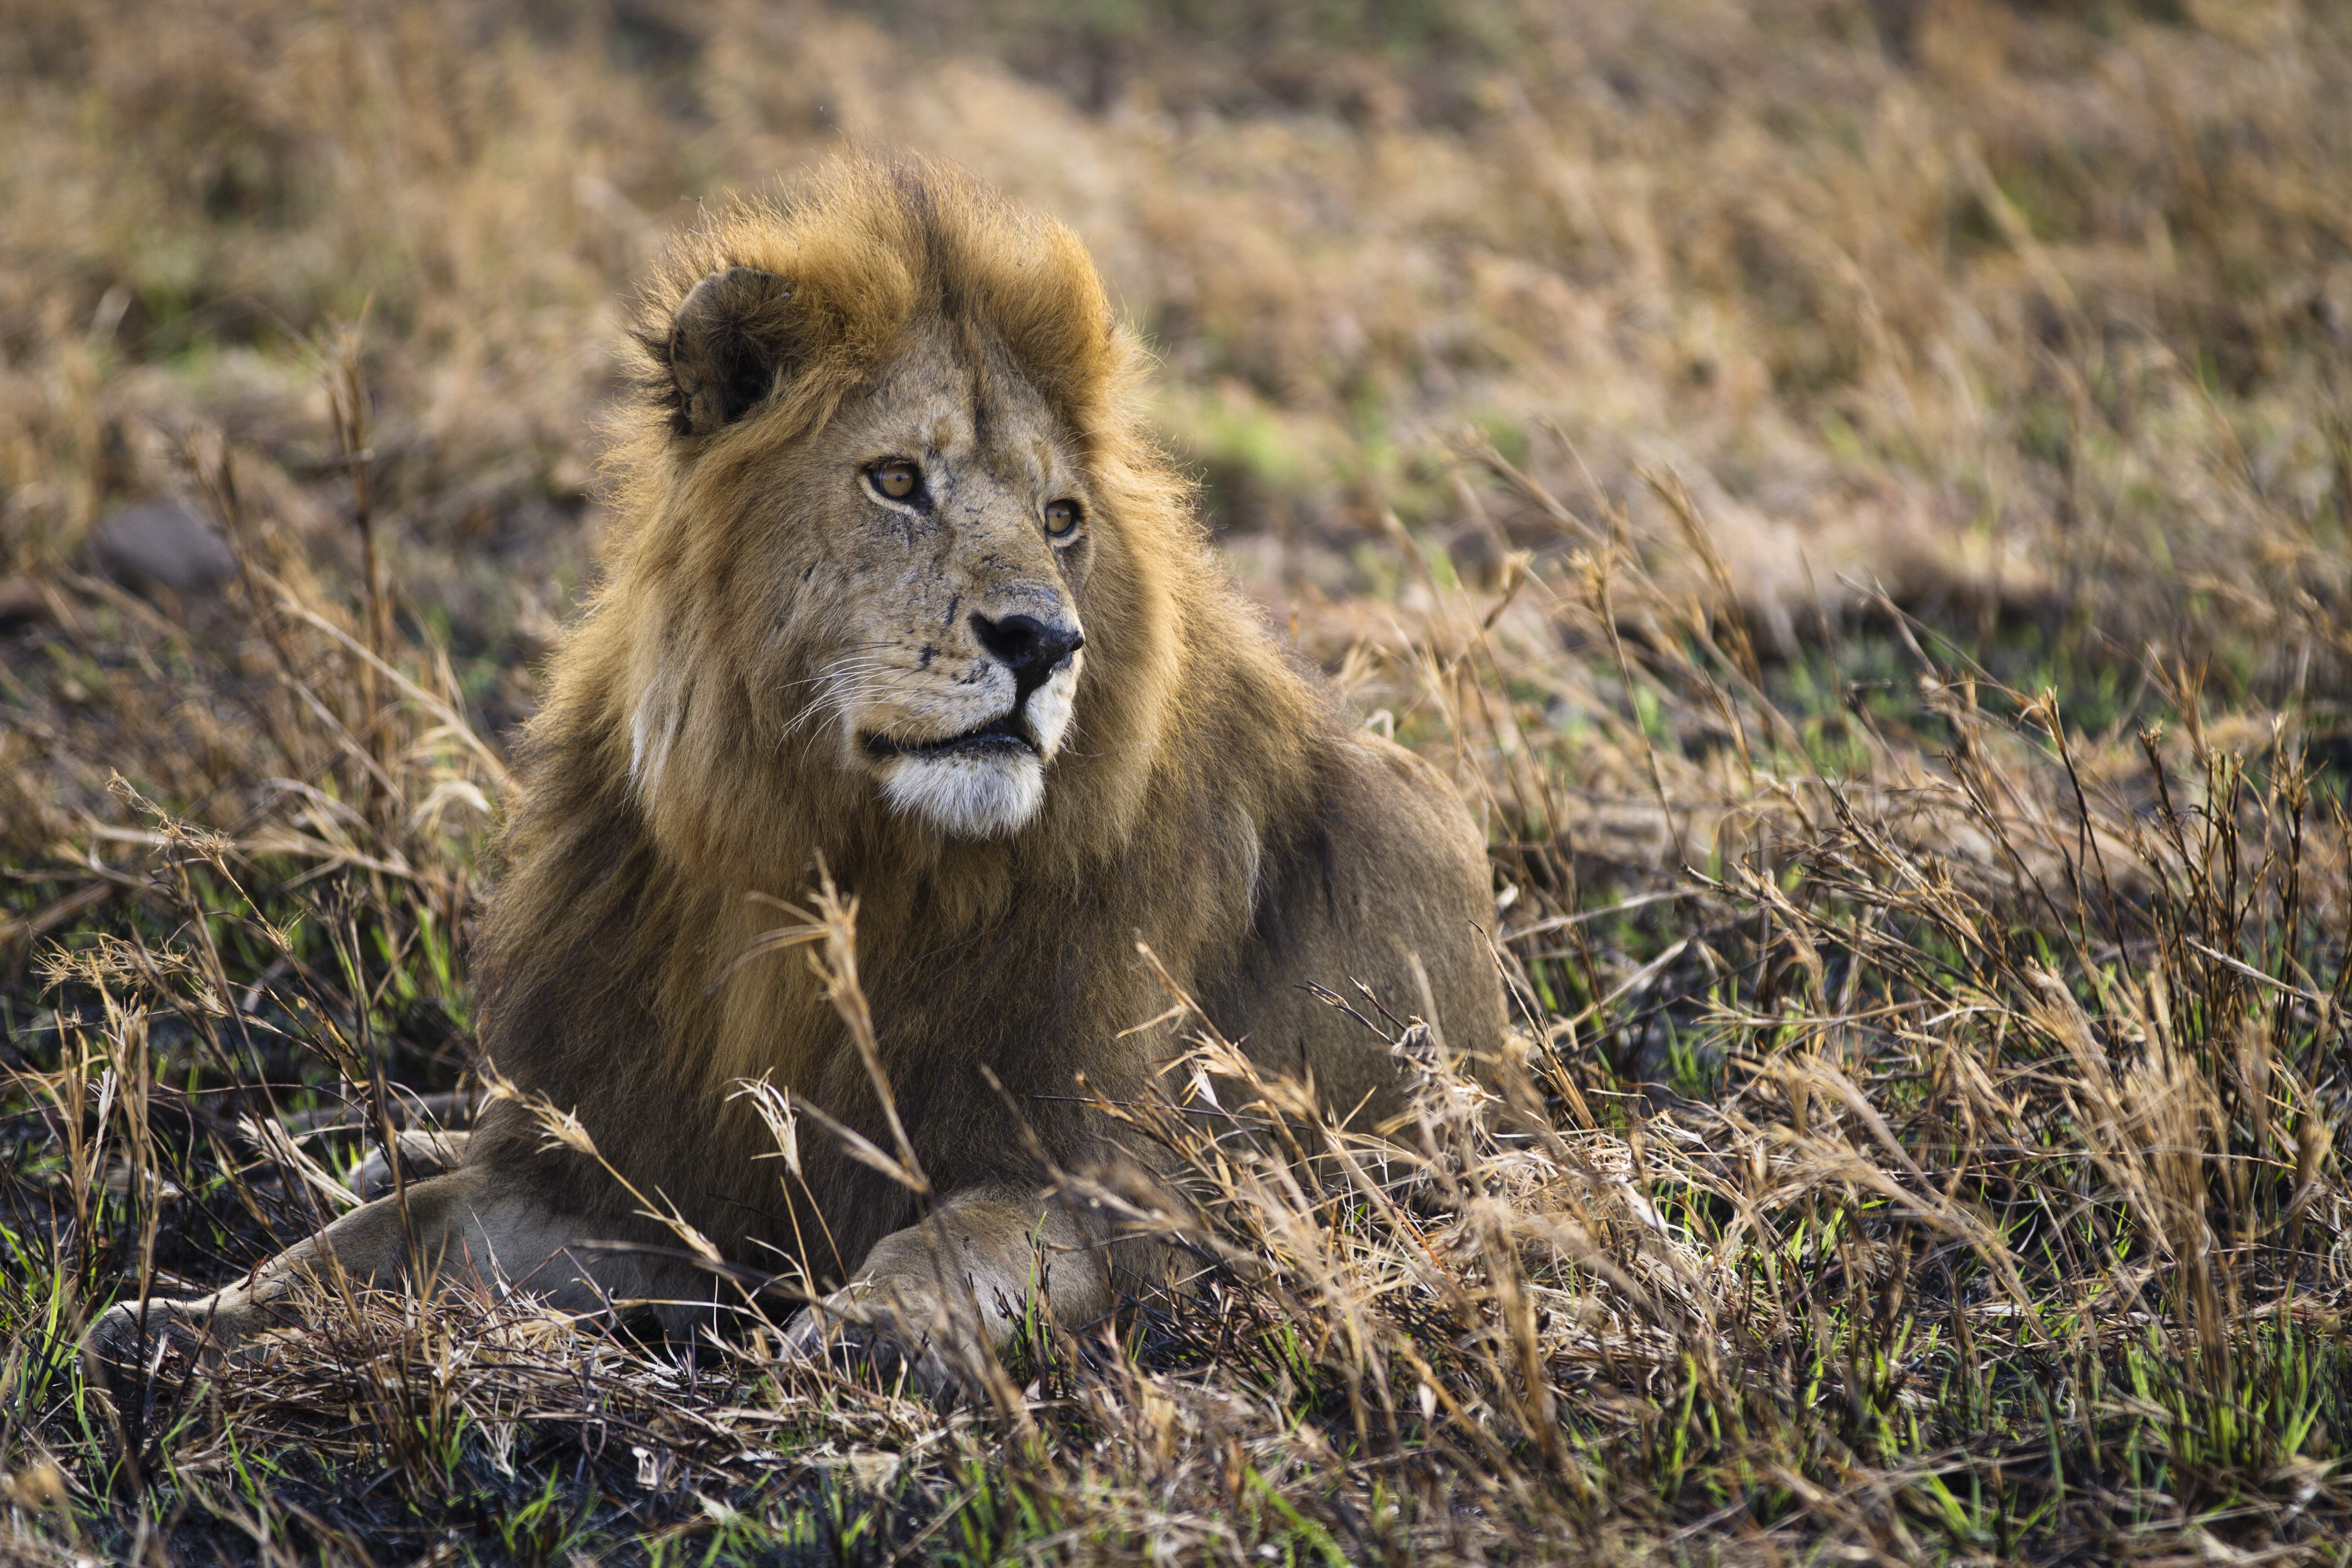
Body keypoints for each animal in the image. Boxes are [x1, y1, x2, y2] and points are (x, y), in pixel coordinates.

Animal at [93, 156, 1507, 1391]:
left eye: (1061, 519)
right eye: (896, 481)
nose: (1046, 641)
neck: (826, 848)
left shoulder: (1128, 1176)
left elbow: (981, 1234)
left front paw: (877, 1325)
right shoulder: (643, 1173)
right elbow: (394, 1234)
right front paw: (190, 1320)